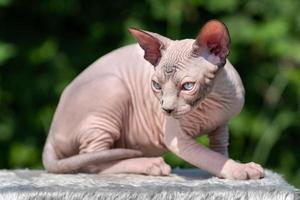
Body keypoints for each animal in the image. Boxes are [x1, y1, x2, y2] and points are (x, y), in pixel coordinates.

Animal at [42, 19, 264, 180]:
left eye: (187, 87)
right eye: (157, 86)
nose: (166, 109)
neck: (212, 102)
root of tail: (51, 133)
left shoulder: (221, 125)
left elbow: (219, 151)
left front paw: (229, 167)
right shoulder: (177, 139)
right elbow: (212, 158)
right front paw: (241, 169)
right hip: (112, 87)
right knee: (92, 160)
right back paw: (150, 164)